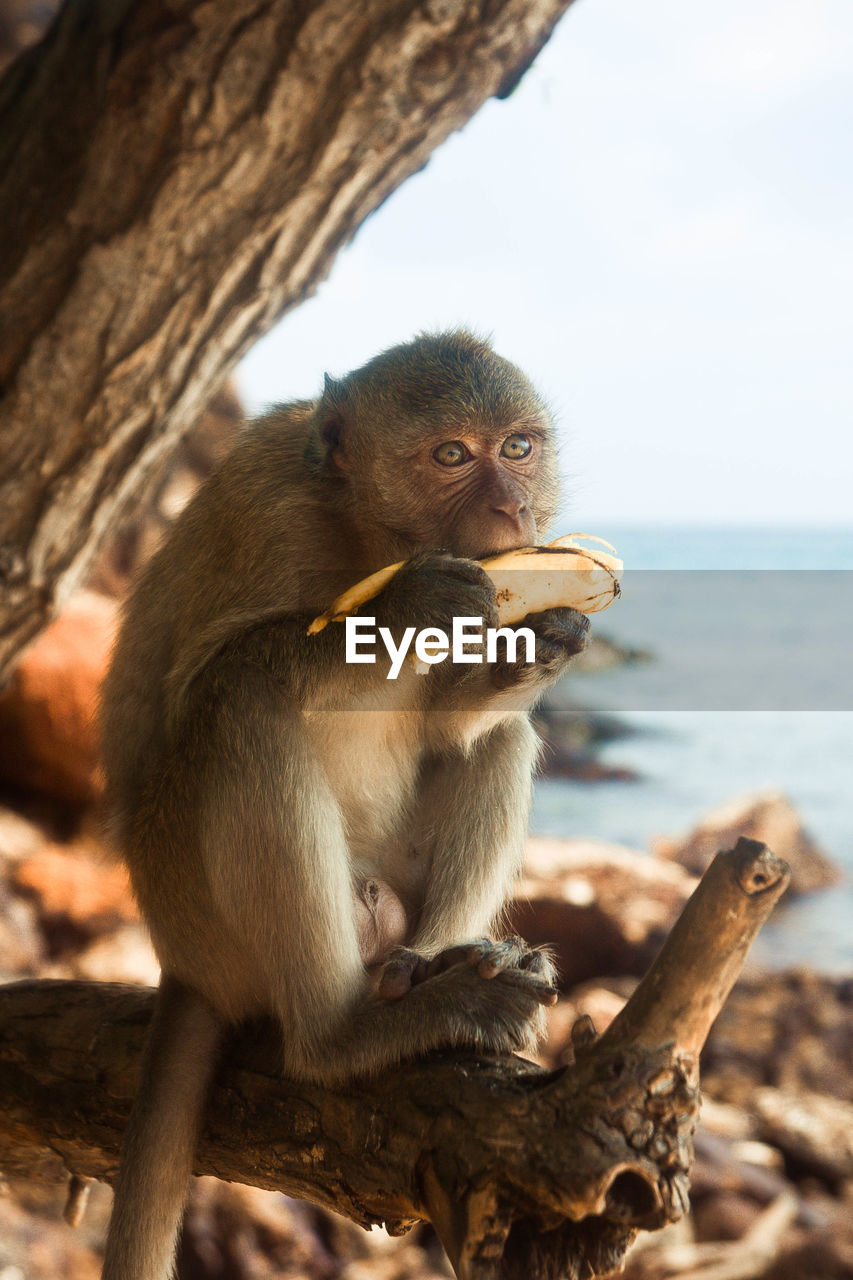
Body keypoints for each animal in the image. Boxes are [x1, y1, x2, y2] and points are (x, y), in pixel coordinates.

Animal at [96, 332, 589, 1280]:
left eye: (516, 447)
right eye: (451, 456)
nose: (512, 508)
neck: (366, 534)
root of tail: (180, 962)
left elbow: (456, 719)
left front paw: (540, 641)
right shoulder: (267, 509)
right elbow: (208, 678)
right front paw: (409, 604)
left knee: (496, 739)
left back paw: (439, 968)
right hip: (196, 910)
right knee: (239, 709)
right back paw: (342, 1039)